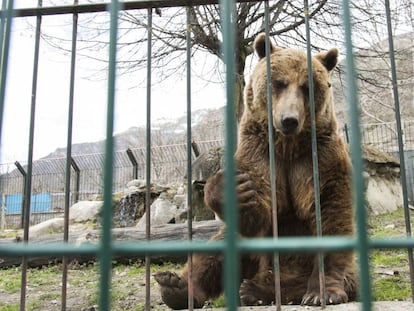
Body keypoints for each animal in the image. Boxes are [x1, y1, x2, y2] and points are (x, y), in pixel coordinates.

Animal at [154, 34, 358, 310]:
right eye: (279, 83)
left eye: (307, 86)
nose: (289, 119)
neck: (288, 146)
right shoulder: (259, 154)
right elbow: (258, 214)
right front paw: (232, 189)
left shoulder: (322, 158)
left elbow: (330, 213)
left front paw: (323, 292)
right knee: (217, 248)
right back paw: (177, 286)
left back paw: (260, 291)